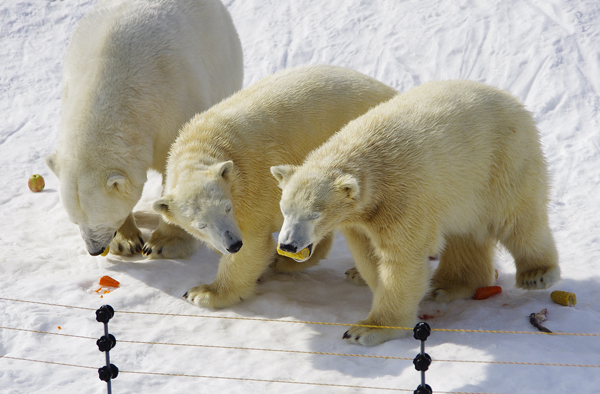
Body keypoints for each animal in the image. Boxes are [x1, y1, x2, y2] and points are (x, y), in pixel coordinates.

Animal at [45, 0, 244, 258]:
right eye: (75, 220)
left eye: (100, 218)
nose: (94, 250)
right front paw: (126, 242)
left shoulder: (174, 106)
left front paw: (163, 243)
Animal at [154, 65, 398, 308]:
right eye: (201, 225)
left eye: (227, 208)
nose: (233, 244)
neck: (204, 146)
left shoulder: (252, 184)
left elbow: (252, 246)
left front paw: (203, 292)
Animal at [274, 79, 560, 344]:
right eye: (285, 210)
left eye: (314, 215)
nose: (287, 245)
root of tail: (513, 100)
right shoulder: (360, 218)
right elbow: (369, 255)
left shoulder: (403, 197)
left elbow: (401, 258)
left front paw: (366, 329)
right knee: (466, 233)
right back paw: (451, 285)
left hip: (502, 160)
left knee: (517, 218)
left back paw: (537, 274)